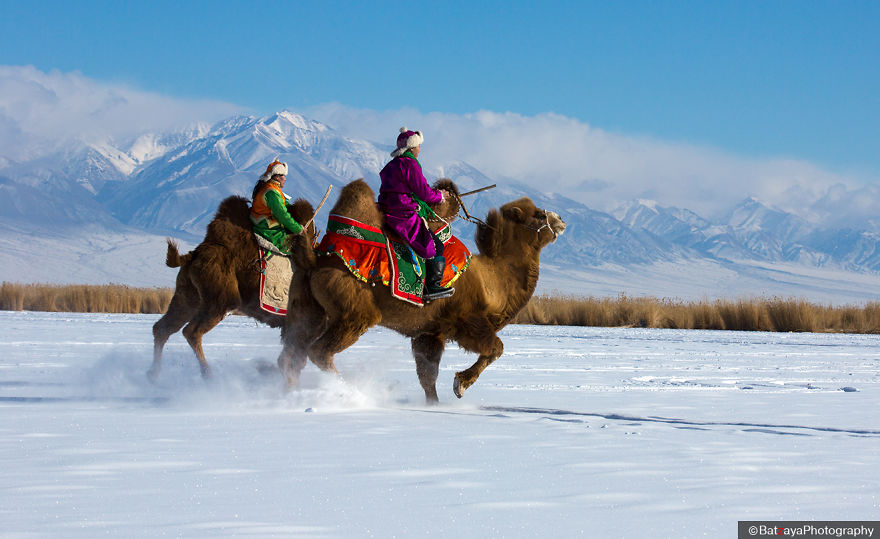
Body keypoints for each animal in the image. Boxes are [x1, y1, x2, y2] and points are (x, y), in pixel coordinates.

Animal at [149, 195, 316, 379]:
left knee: (163, 328)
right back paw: (208, 375)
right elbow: (297, 357)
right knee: (191, 331)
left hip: (187, 294)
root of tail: (193, 255)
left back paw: (153, 375)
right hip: (221, 296)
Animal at [278, 179, 566, 403]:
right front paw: (460, 385)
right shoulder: (466, 321)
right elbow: (496, 348)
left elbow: (428, 375)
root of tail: (314, 259)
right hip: (355, 311)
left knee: (293, 353)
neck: (493, 280)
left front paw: (435, 404)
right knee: (319, 351)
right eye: (538, 215)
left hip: (308, 307)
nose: (561, 220)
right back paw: (350, 392)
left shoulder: (430, 332)